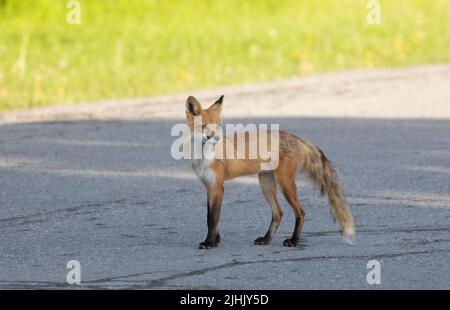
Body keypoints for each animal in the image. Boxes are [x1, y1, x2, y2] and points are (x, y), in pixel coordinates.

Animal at [185, 95, 354, 249]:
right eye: (203, 126)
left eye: (218, 126)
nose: (216, 138)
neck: (203, 157)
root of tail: (295, 137)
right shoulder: (209, 187)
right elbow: (210, 218)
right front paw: (215, 240)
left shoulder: (219, 187)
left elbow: (213, 218)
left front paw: (209, 242)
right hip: (266, 184)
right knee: (278, 213)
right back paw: (266, 239)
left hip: (284, 184)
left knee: (300, 212)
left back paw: (294, 241)